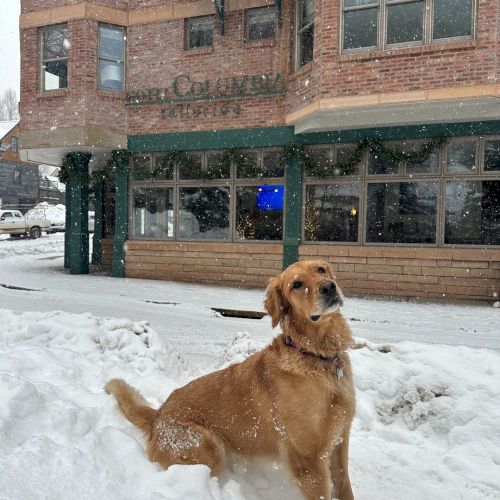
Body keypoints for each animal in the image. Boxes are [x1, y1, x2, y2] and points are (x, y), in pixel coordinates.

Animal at [105, 260, 356, 498]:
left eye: (321, 269)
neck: (315, 355)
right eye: (296, 284)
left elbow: (345, 486)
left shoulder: (340, 441)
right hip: (207, 445)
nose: (329, 287)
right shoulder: (308, 459)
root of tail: (158, 415)